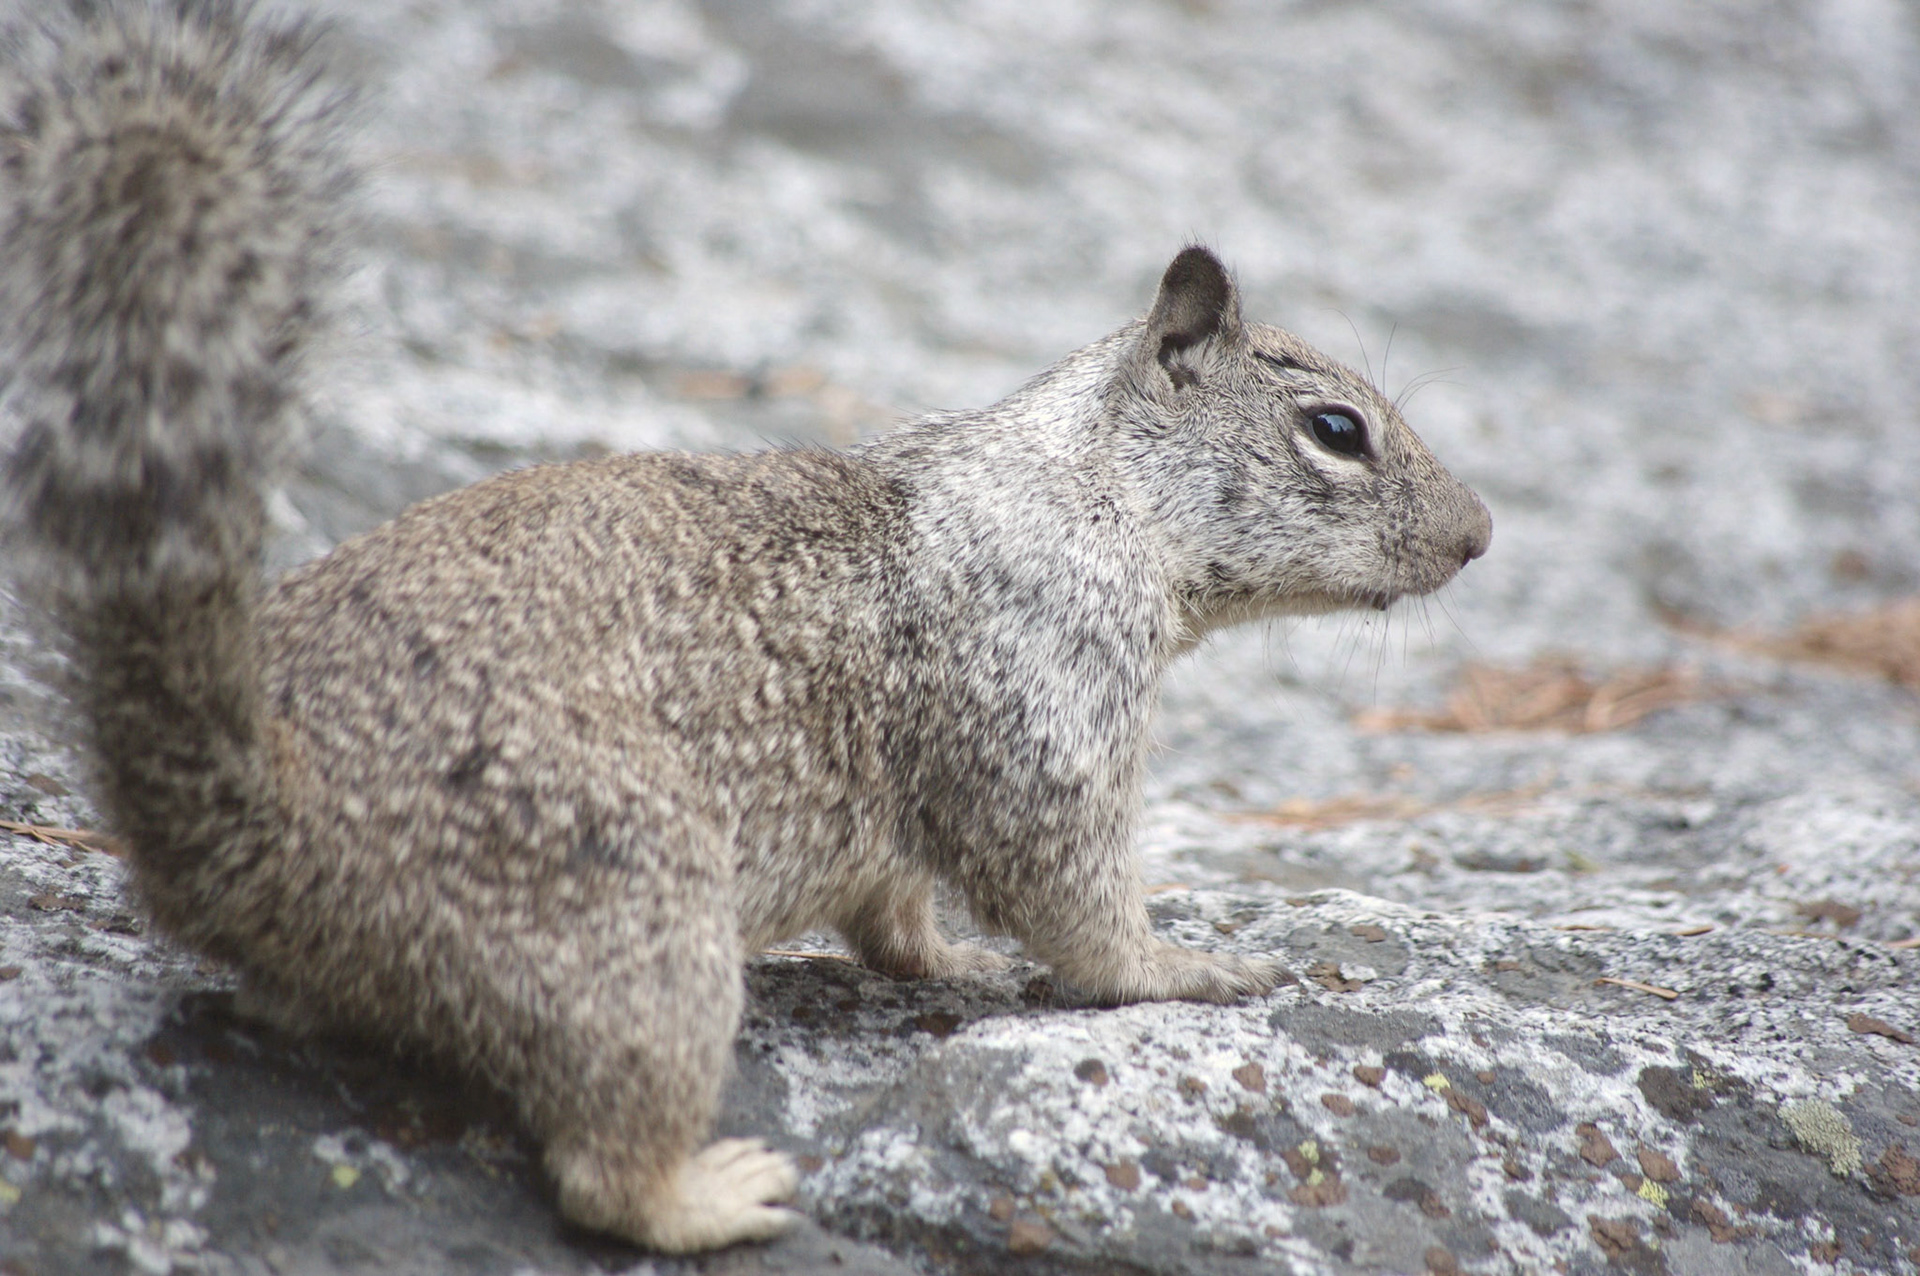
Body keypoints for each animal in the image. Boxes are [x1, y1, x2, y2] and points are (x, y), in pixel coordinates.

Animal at [0, 0, 1491, 1255]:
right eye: (1336, 429)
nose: (1480, 535)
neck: (1093, 490)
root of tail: (257, 816)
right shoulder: (1042, 699)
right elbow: (1072, 902)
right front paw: (1192, 965)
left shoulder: (909, 817)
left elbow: (898, 908)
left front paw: (949, 955)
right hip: (632, 915)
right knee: (601, 1173)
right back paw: (719, 1194)